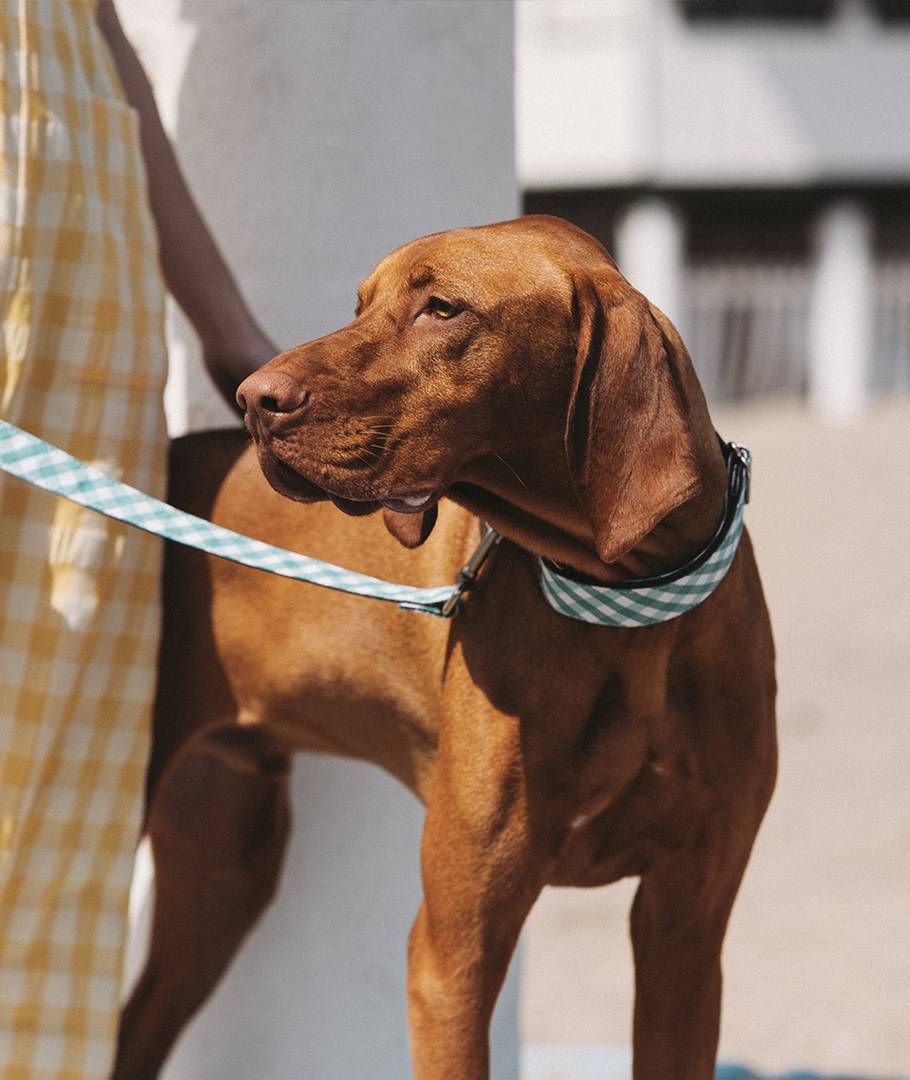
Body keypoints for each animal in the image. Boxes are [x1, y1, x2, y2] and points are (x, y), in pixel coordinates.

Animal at [113, 214, 777, 1075]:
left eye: (443, 309)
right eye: (360, 304)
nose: (255, 399)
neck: (630, 611)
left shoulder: (686, 931)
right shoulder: (455, 949)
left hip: (225, 870)